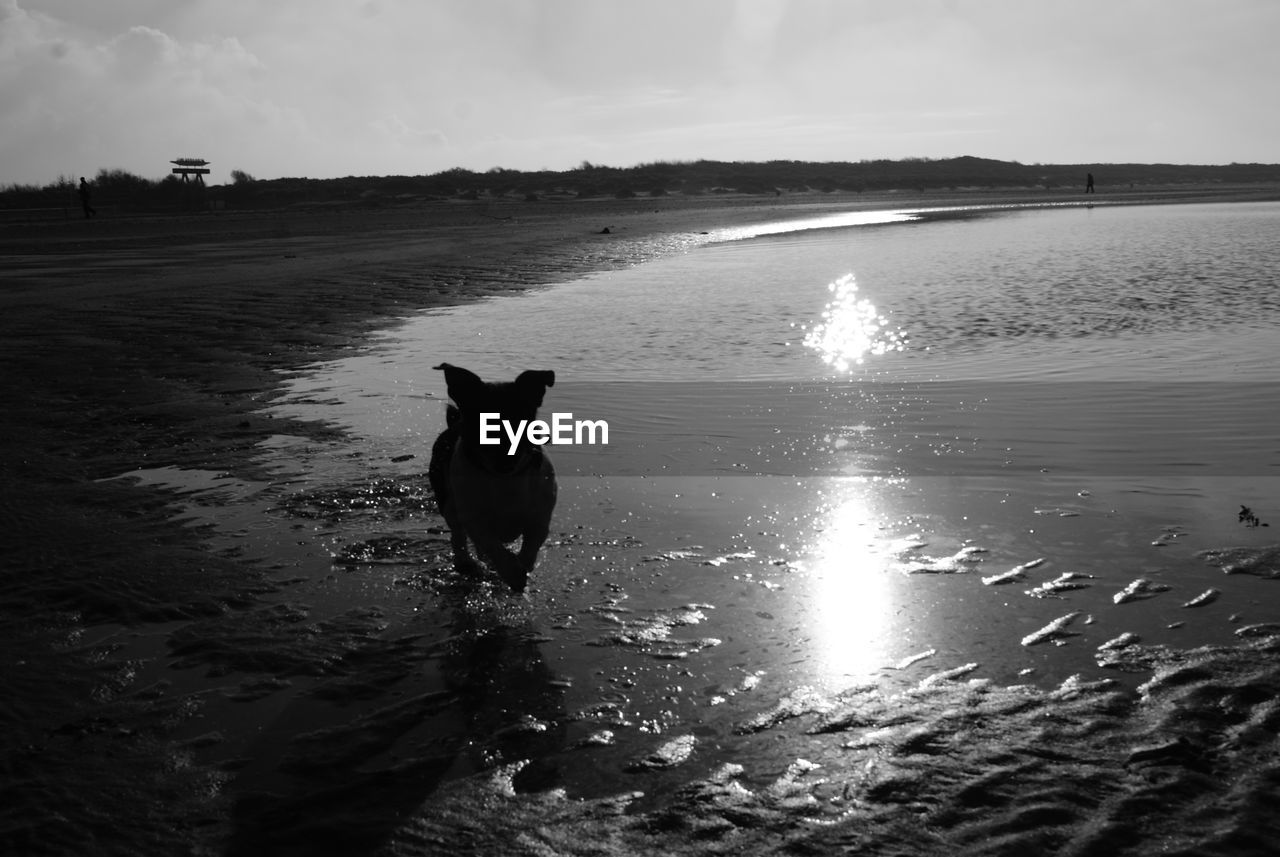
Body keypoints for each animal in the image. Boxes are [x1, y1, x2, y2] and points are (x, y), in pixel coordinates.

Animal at [430, 360, 555, 590]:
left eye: (521, 419)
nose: (506, 460)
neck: (504, 478)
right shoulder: (474, 519)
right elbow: (490, 544)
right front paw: (513, 572)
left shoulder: (540, 515)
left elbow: (532, 542)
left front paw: (523, 565)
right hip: (447, 500)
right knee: (458, 535)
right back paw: (466, 562)